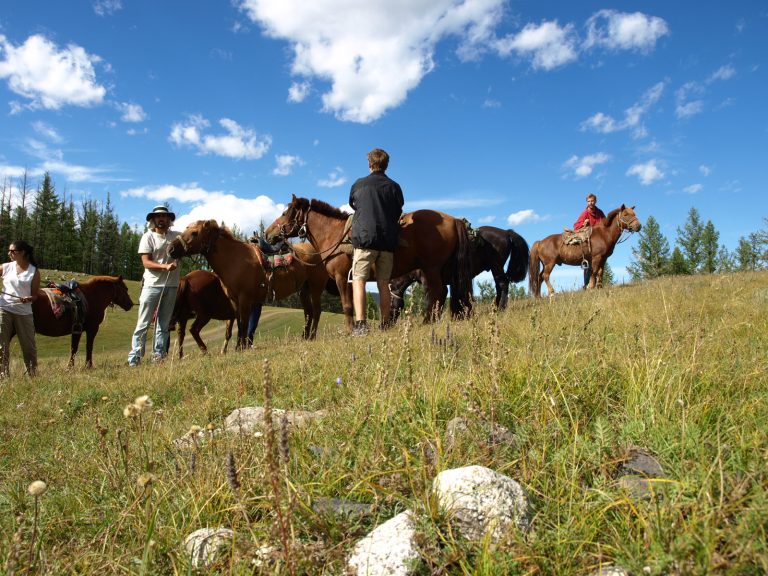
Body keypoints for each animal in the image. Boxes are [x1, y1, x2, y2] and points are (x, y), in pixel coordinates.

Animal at [262, 196, 474, 328]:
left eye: (285, 213)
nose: (268, 233)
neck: (334, 235)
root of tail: (454, 219)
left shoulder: (341, 277)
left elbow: (347, 306)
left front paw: (349, 332)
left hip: (431, 268)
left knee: (438, 292)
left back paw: (427, 322)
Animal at [390, 224, 528, 320]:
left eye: (390, 302)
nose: (385, 326)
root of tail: (506, 232)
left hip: (496, 266)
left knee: (503, 284)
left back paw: (500, 309)